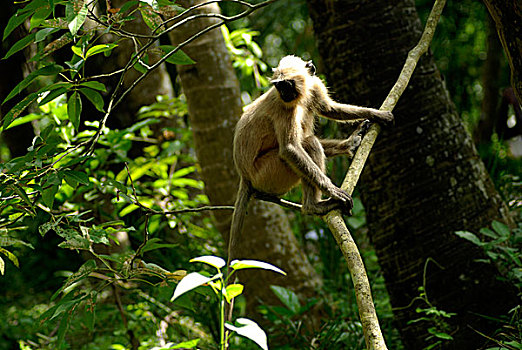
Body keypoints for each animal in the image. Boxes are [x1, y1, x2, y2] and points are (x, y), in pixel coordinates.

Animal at [225, 54, 392, 262]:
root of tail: (245, 176)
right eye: (279, 86)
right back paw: (313, 207)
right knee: (308, 143)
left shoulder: (313, 85)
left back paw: (347, 145)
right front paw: (333, 191)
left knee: (308, 137)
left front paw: (375, 114)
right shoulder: (283, 107)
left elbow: (330, 109)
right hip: (267, 174)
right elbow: (290, 149)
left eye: (287, 85)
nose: (283, 92)